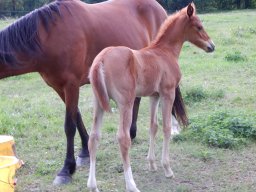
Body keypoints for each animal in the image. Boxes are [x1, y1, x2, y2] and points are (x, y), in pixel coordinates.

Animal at [88, 3, 214, 192]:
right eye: (199, 26)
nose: (211, 46)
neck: (164, 52)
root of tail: (100, 60)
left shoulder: (154, 96)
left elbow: (153, 126)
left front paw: (152, 164)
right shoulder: (168, 93)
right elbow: (167, 127)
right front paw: (167, 168)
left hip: (99, 103)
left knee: (94, 137)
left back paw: (92, 185)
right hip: (126, 103)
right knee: (123, 138)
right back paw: (131, 184)